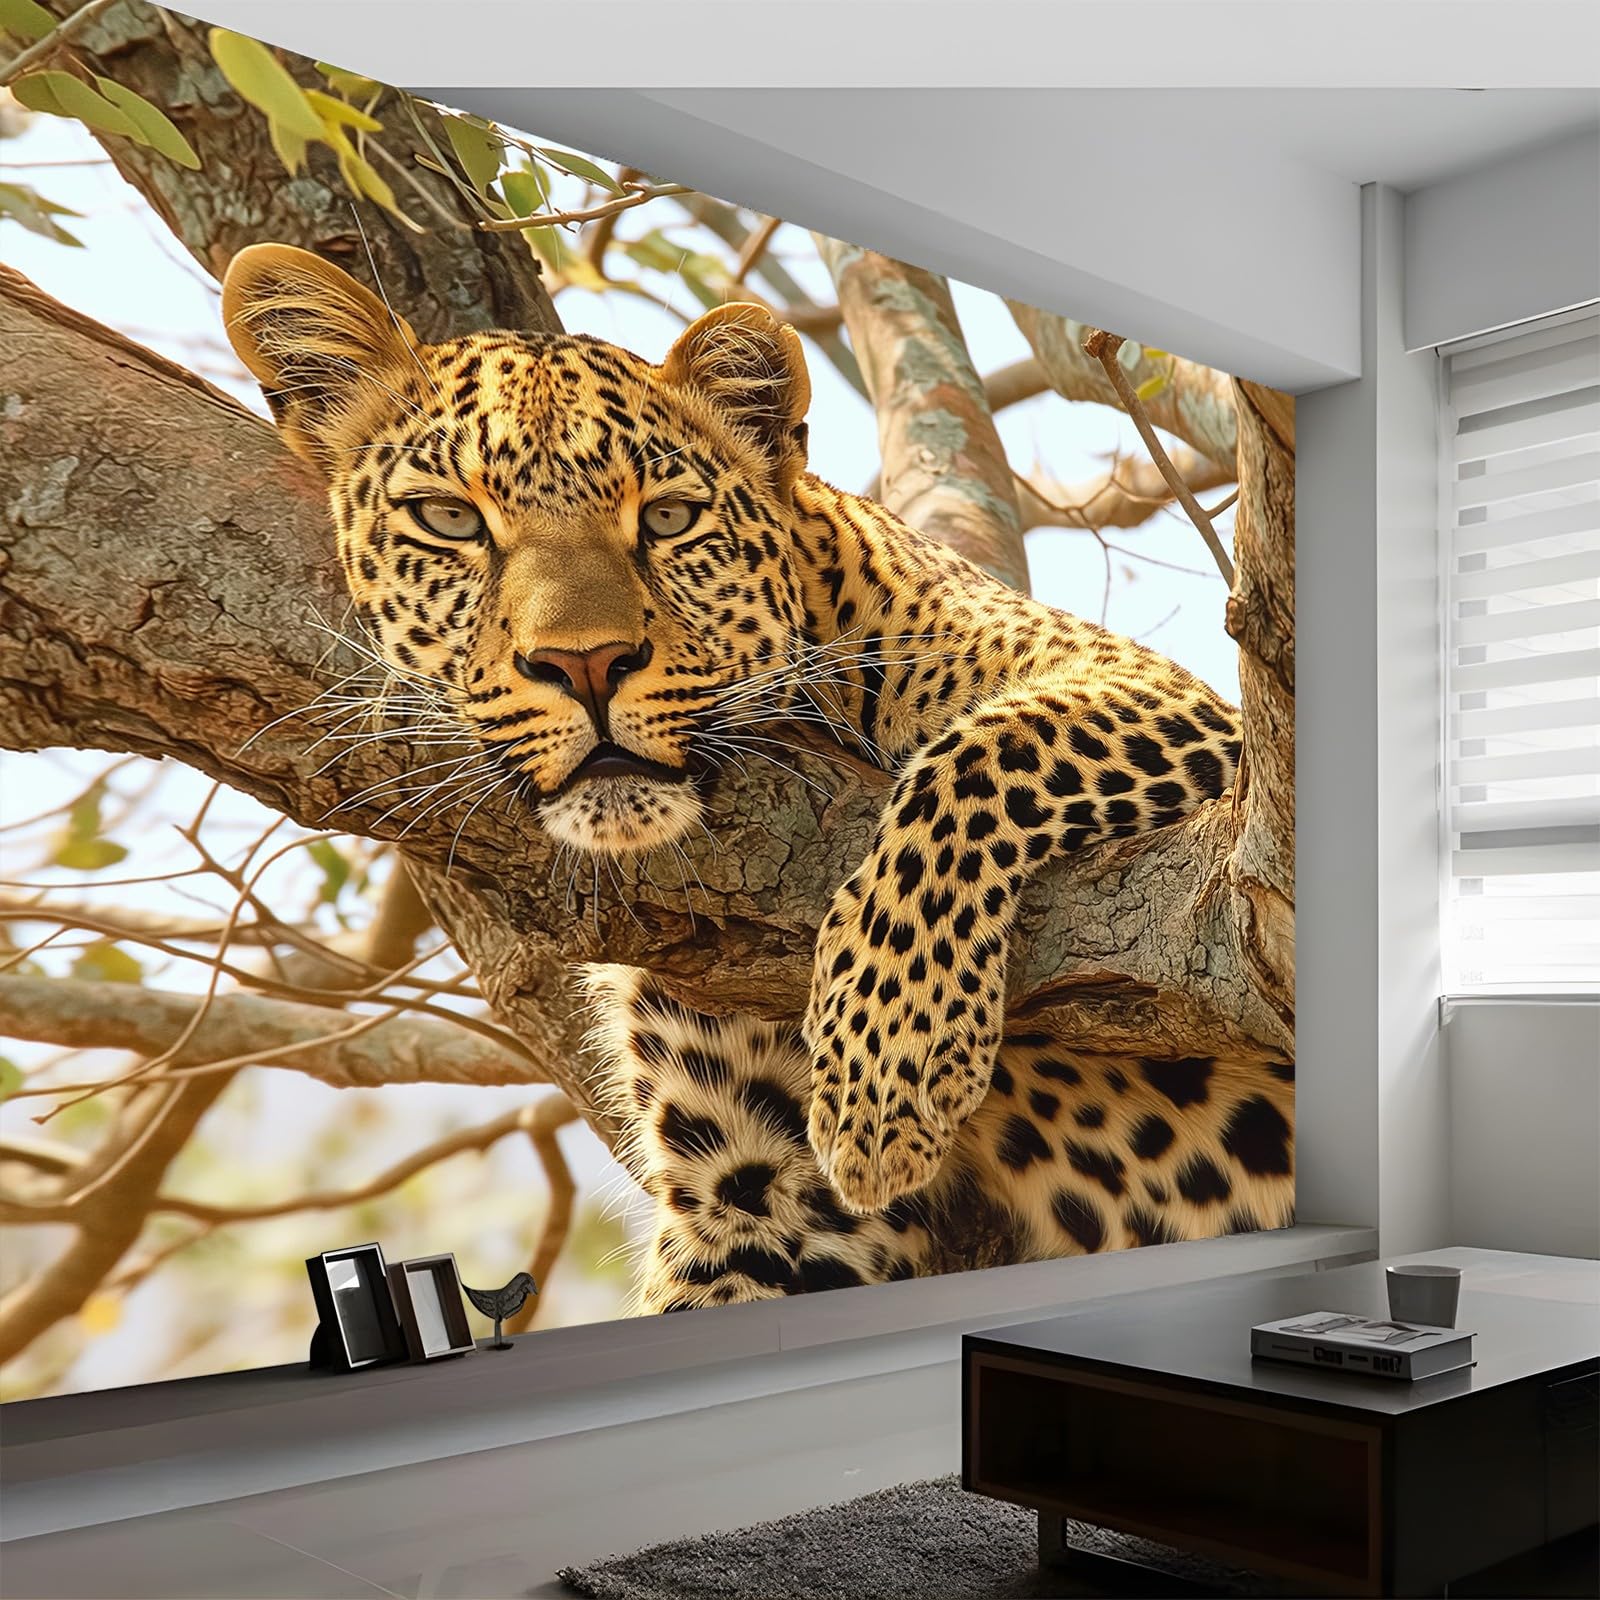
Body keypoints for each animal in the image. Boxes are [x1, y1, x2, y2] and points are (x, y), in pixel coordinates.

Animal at [222, 243, 1294, 1312]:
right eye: (449, 519)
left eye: (668, 518)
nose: (587, 664)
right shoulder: (758, 1199)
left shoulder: (1183, 711)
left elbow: (982, 756)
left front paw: (887, 1066)